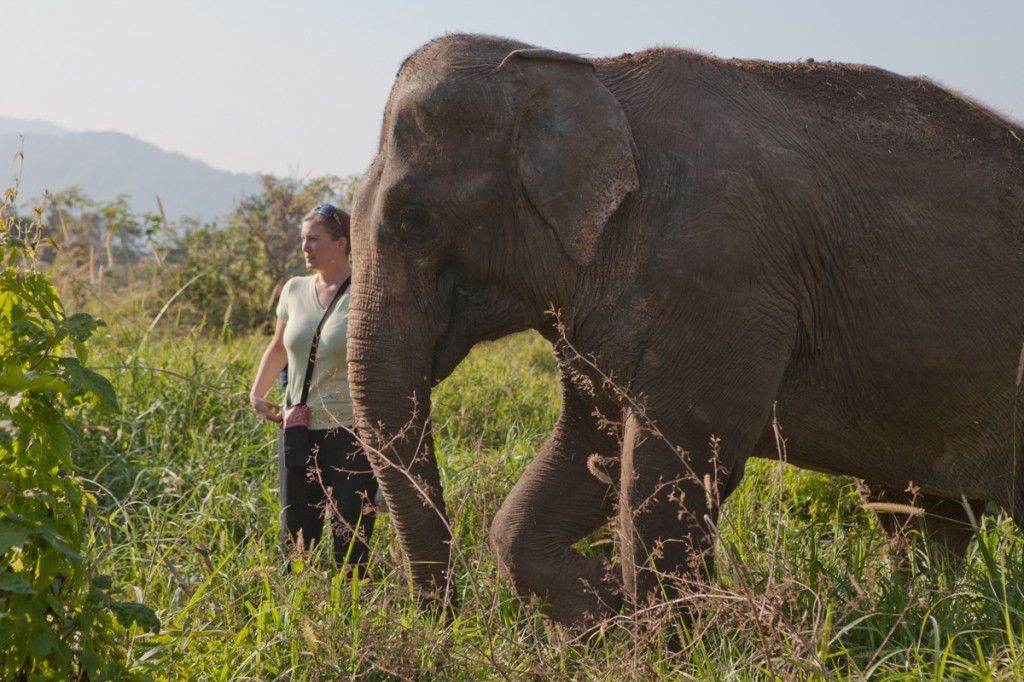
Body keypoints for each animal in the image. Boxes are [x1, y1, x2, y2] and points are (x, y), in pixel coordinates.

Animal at [348, 33, 1024, 626]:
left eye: (414, 218)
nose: (446, 623)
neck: (586, 70)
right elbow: (580, 453)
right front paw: (600, 613)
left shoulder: (720, 283)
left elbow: (667, 475)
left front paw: (655, 638)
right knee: (926, 517)